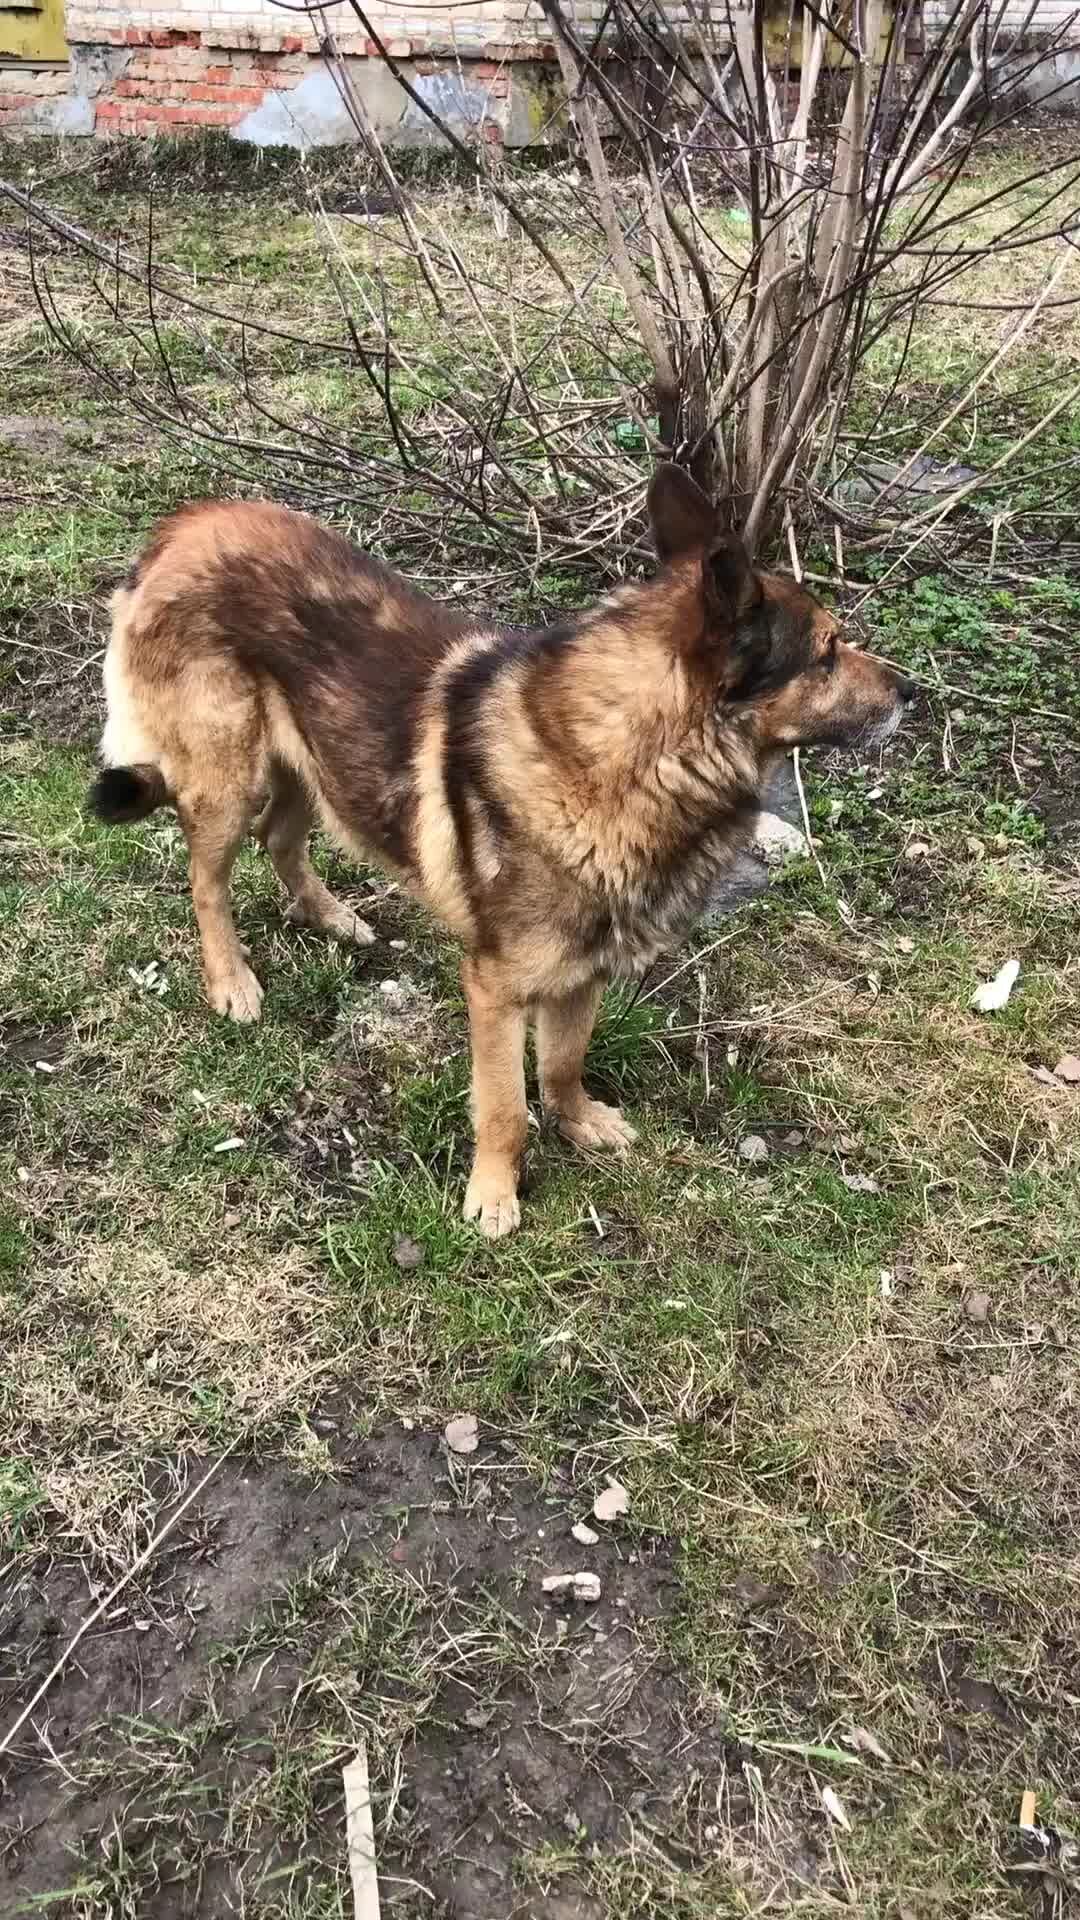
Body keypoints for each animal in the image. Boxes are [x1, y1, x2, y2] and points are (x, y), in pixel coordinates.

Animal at [88, 470, 907, 1236]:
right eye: (828, 653)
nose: (911, 693)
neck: (636, 756)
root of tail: (186, 523)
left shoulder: (583, 971)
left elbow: (564, 1062)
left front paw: (578, 1121)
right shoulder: (496, 988)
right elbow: (506, 1105)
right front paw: (493, 1193)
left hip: (314, 761)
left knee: (280, 839)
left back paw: (329, 916)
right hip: (227, 777)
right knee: (208, 881)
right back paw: (231, 980)